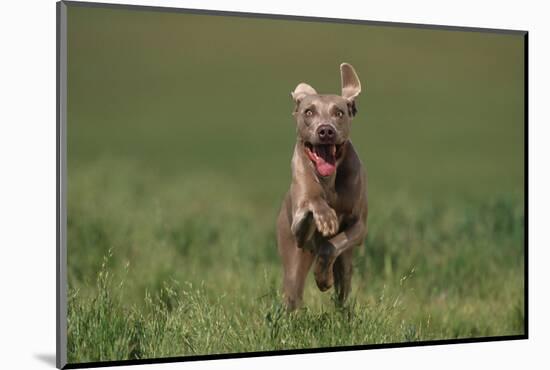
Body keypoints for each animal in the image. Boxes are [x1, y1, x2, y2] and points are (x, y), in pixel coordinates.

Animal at [276, 63, 370, 312]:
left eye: (339, 112)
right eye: (308, 112)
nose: (326, 130)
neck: (329, 180)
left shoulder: (358, 226)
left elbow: (330, 245)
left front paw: (322, 277)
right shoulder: (297, 229)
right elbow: (309, 208)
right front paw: (322, 214)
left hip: (345, 264)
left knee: (342, 289)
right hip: (292, 259)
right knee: (293, 292)